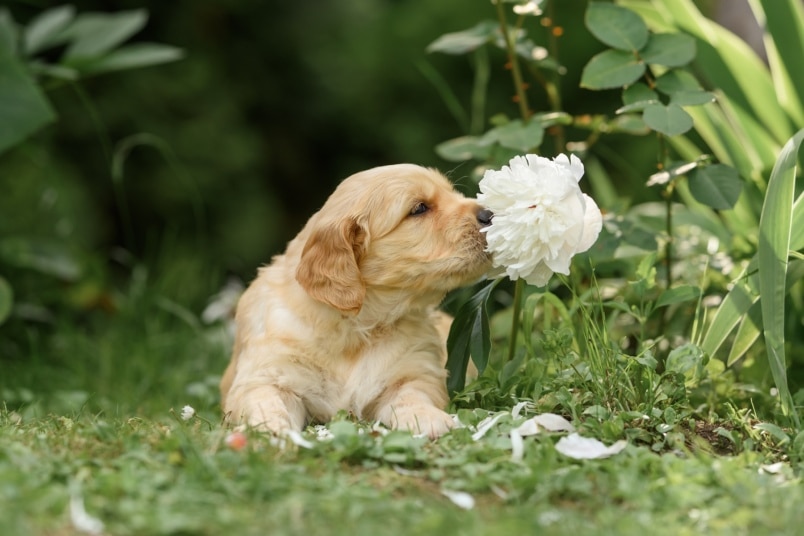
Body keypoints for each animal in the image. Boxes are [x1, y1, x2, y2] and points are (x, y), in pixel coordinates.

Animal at [223, 164, 494, 440]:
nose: (490, 214)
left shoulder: (415, 369)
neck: (355, 327)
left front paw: (428, 418)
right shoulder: (268, 373)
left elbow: (411, 394)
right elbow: (264, 400)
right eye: (419, 208)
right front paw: (267, 430)